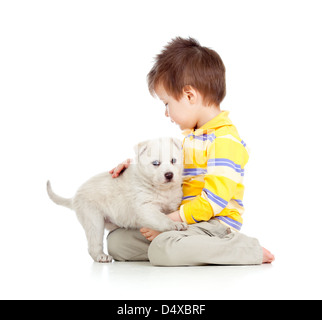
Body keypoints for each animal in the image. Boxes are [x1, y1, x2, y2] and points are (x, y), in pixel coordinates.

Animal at [46, 138, 186, 262]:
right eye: (156, 163)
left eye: (173, 160)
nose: (169, 175)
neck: (163, 189)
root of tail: (74, 197)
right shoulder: (144, 207)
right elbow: (161, 217)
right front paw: (175, 224)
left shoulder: (171, 205)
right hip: (93, 219)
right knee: (93, 243)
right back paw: (101, 257)